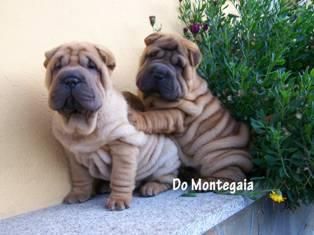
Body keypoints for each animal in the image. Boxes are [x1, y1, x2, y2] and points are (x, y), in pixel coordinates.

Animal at [44, 41, 182, 210]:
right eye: (57, 67)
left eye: (92, 66)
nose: (71, 79)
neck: (81, 121)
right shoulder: (73, 154)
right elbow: (79, 177)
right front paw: (78, 194)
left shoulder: (123, 146)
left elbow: (120, 176)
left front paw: (118, 200)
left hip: (166, 159)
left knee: (167, 179)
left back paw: (152, 186)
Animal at [127, 32, 253, 182]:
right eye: (152, 55)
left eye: (179, 66)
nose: (160, 72)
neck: (153, 97)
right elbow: (136, 99)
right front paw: (127, 96)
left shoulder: (176, 114)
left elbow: (153, 116)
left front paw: (135, 117)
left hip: (221, 161)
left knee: (227, 176)